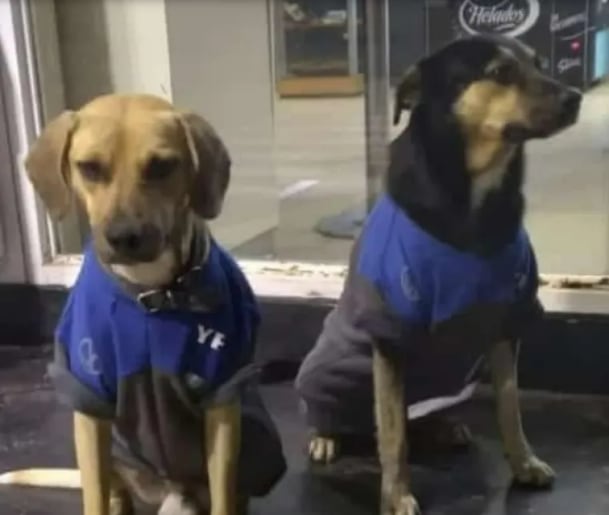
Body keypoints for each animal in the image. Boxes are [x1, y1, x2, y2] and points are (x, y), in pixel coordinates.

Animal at [0, 94, 284, 515]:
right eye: (89, 167)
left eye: (162, 166)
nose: (124, 237)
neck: (153, 294)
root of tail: (171, 493)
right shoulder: (90, 406)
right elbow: (95, 496)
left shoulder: (222, 402)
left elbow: (223, 494)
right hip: (111, 450)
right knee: (114, 492)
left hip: (259, 436)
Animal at [296, 36, 580, 515]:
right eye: (501, 72)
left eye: (540, 63)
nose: (574, 97)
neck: (476, 196)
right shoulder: (390, 334)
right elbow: (393, 436)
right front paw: (396, 496)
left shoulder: (506, 320)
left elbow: (510, 407)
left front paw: (524, 463)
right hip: (329, 371)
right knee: (342, 413)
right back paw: (326, 436)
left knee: (418, 414)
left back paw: (442, 427)